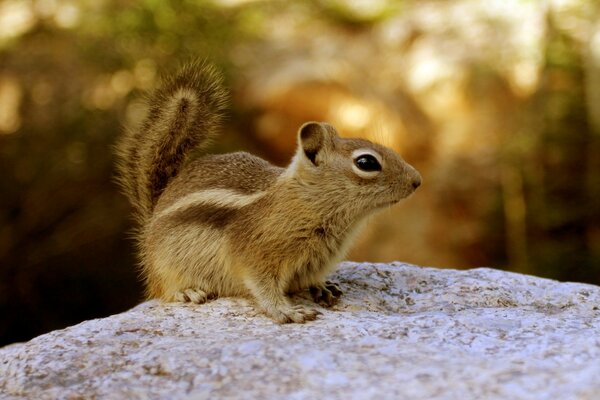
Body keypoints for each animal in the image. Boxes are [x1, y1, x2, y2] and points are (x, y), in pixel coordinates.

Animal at [115, 61, 420, 324]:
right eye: (367, 162)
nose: (417, 181)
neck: (307, 203)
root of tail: (151, 219)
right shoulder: (256, 254)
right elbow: (262, 286)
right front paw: (287, 311)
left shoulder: (314, 260)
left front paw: (322, 287)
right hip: (165, 266)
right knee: (164, 289)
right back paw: (186, 291)